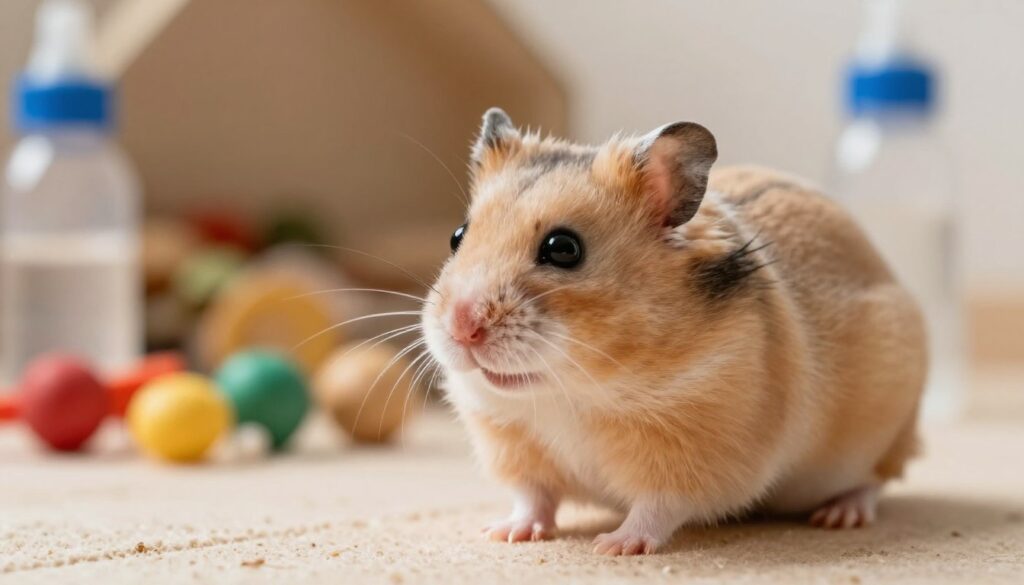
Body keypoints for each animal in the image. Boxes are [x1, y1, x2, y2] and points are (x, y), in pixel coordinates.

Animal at [421, 107, 926, 556]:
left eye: (563, 249)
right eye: (457, 236)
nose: (462, 328)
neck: (570, 395)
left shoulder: (694, 454)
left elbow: (656, 508)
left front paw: (613, 546)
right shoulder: (513, 444)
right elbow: (533, 497)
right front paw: (504, 534)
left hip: (883, 431)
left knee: (876, 480)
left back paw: (840, 516)